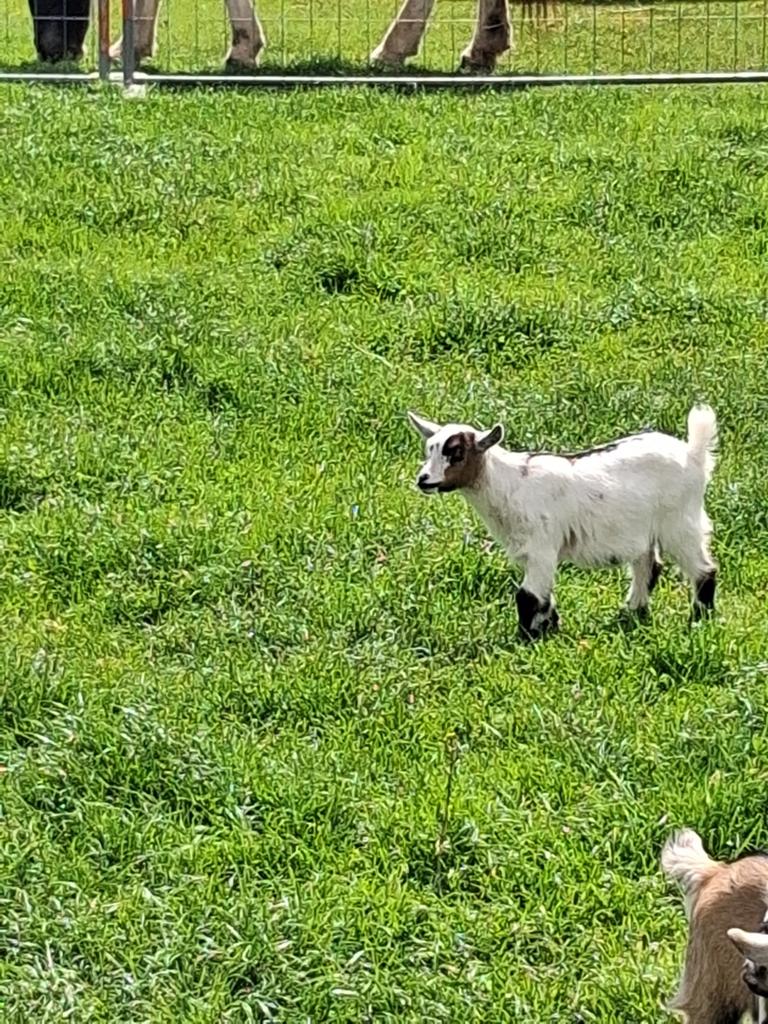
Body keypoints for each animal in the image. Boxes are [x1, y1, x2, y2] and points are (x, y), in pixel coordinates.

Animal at [407, 404, 717, 638]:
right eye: (429, 449)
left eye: (456, 453)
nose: (423, 480)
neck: (509, 483)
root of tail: (694, 454)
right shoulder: (529, 551)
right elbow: (543, 595)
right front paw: (549, 627)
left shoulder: (541, 547)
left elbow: (528, 596)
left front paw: (527, 638)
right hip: (642, 529)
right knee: (647, 567)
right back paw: (632, 612)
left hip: (680, 522)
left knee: (703, 570)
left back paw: (700, 619)